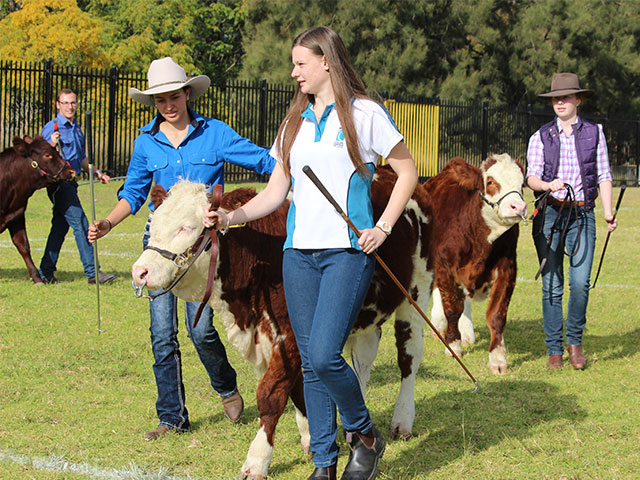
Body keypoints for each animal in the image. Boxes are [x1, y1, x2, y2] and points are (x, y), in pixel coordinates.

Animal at [131, 153, 524, 476]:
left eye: (187, 227)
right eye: (152, 224)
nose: (140, 272)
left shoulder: (287, 334)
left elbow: (271, 395)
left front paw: (257, 460)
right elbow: (302, 390)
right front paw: (313, 439)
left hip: (416, 293)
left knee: (408, 360)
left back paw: (401, 421)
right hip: (363, 316)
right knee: (360, 364)